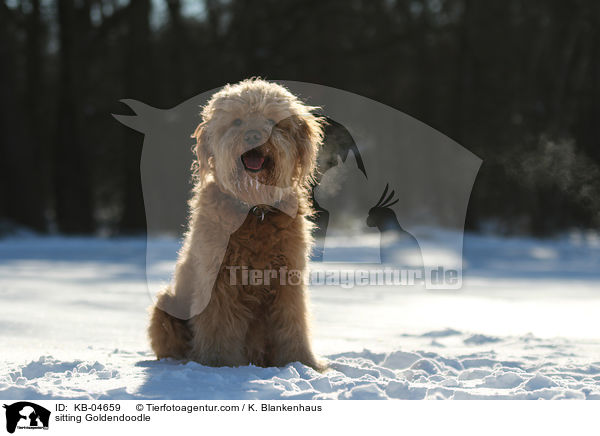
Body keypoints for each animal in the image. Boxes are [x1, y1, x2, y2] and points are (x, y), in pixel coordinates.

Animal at [149, 76, 326, 370]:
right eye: (237, 121)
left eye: (271, 120)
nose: (253, 135)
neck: (254, 211)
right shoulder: (218, 280)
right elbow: (218, 325)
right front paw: (219, 363)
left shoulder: (288, 279)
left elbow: (292, 323)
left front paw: (300, 362)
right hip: (165, 309)